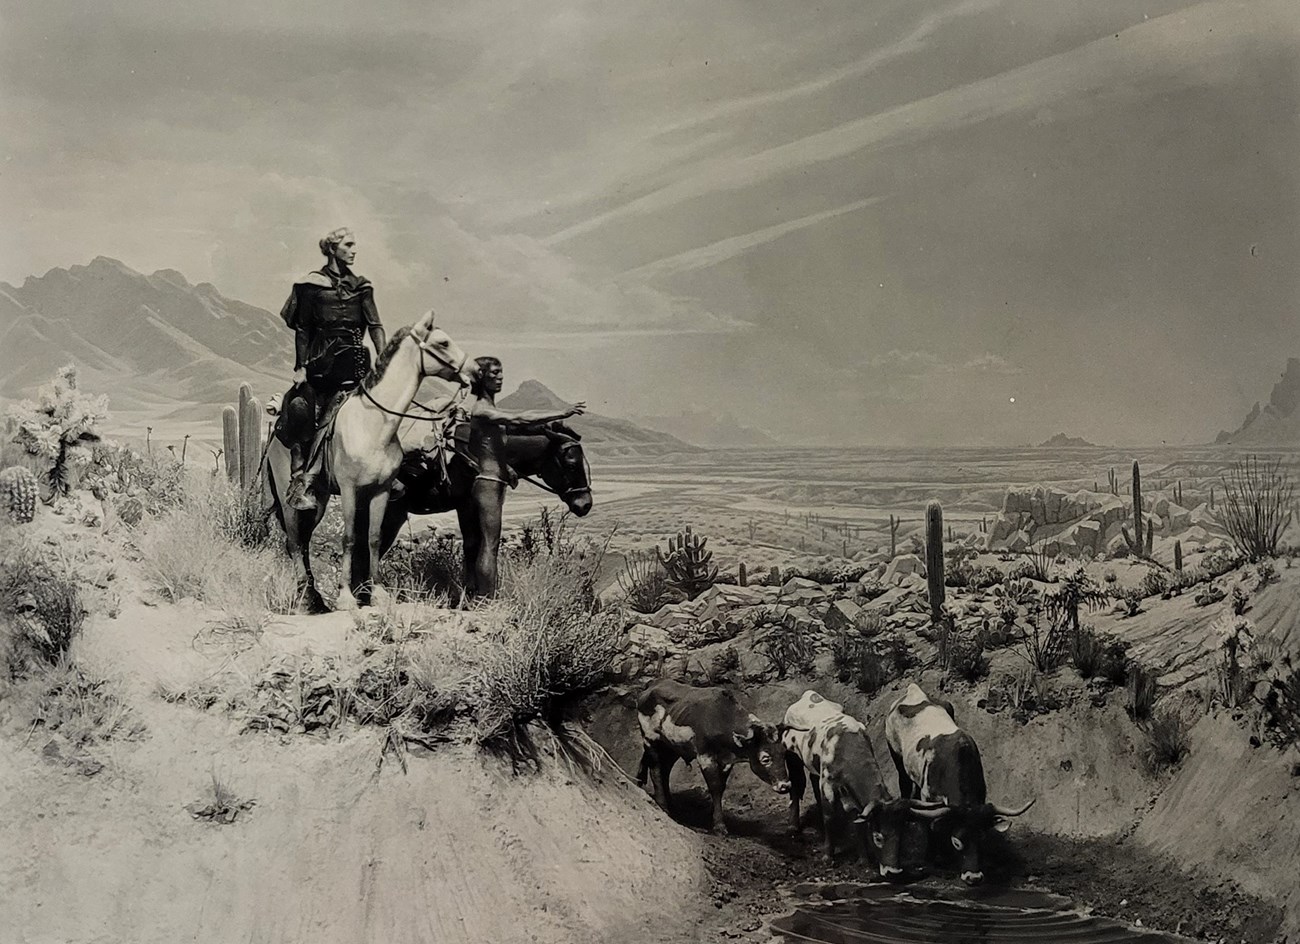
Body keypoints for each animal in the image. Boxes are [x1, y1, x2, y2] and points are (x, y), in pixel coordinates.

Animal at [637, 681, 790, 837]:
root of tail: (650, 688)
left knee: (665, 770)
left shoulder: (726, 761)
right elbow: (715, 787)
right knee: (656, 769)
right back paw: (663, 805)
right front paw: (719, 826)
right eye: (765, 759)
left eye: (784, 754)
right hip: (651, 739)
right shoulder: (705, 756)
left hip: (672, 748)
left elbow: (721, 787)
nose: (785, 785)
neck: (722, 719)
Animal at [774, 686, 941, 878]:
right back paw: (793, 826)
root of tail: (808, 695)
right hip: (792, 757)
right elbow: (829, 817)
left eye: (900, 836)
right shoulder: (828, 786)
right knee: (795, 786)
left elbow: (858, 822)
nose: (892, 872)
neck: (845, 747)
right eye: (878, 837)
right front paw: (828, 856)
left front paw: (863, 859)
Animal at [883, 681, 1034, 889]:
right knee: (905, 784)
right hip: (897, 757)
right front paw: (933, 859)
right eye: (957, 843)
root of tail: (913, 690)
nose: (974, 877)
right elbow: (931, 825)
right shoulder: (929, 797)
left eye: (981, 839)